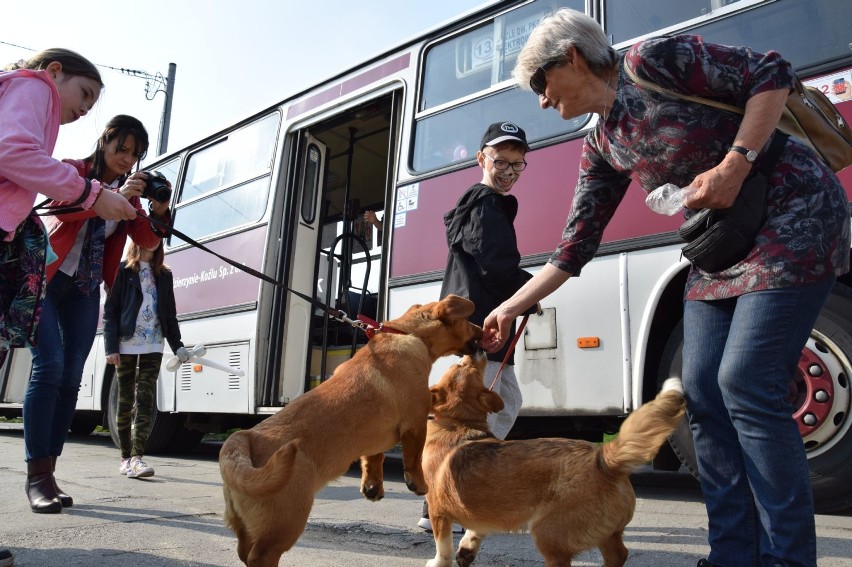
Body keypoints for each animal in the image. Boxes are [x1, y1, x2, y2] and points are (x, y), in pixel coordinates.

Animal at [220, 296, 482, 564]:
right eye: (468, 321)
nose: (483, 332)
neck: (409, 334)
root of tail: (246, 437)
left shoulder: (376, 437)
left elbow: (374, 459)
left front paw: (372, 486)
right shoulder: (416, 424)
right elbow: (413, 459)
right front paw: (417, 483)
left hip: (246, 525)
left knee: (243, 550)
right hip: (284, 525)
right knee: (258, 556)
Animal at [424, 352, 684, 564]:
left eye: (459, 364)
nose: (478, 348)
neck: (459, 422)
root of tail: (604, 458)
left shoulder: (438, 512)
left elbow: (443, 549)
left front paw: (438, 561)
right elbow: (475, 531)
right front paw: (467, 549)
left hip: (547, 535)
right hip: (607, 535)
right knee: (619, 555)